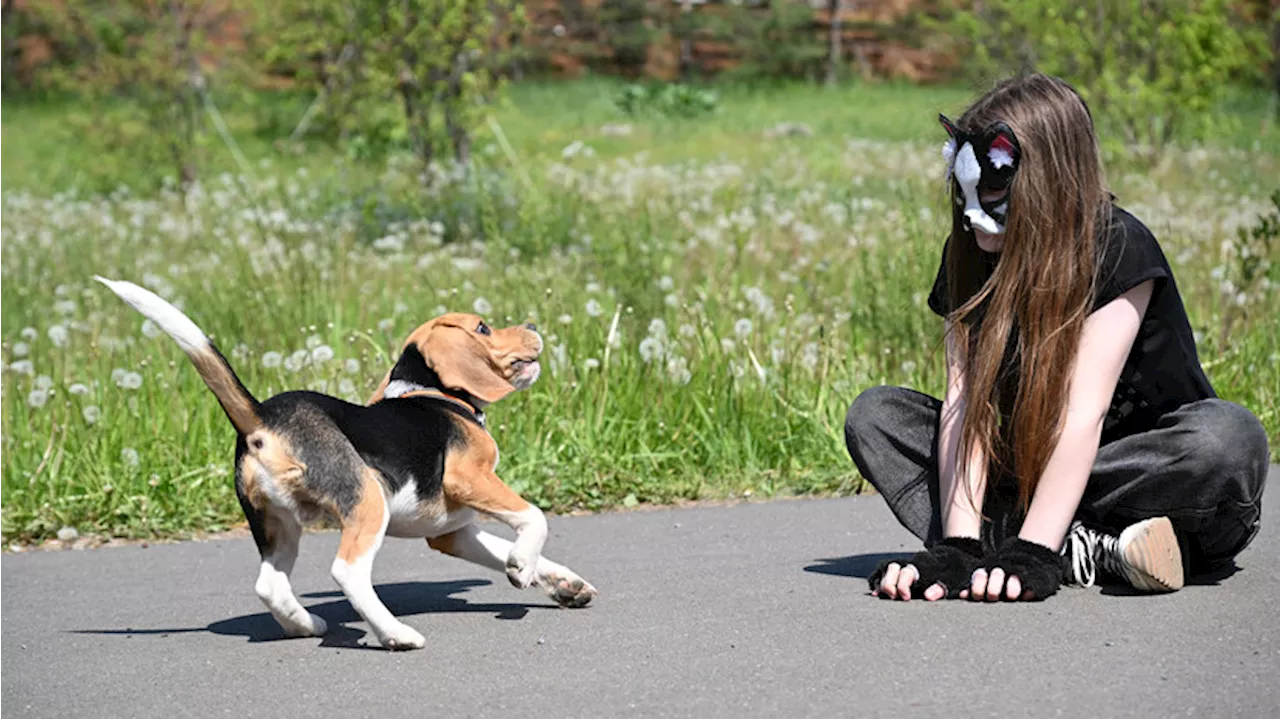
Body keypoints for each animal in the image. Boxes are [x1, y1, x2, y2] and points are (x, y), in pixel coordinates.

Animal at [97, 277, 596, 647]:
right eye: (484, 328)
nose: (532, 323)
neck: (432, 392)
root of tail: (262, 417)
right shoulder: (469, 478)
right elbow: (534, 518)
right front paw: (523, 566)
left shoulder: (451, 532)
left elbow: (507, 547)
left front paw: (562, 583)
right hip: (367, 499)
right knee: (348, 572)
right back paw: (395, 634)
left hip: (277, 523)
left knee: (269, 584)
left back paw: (305, 625)